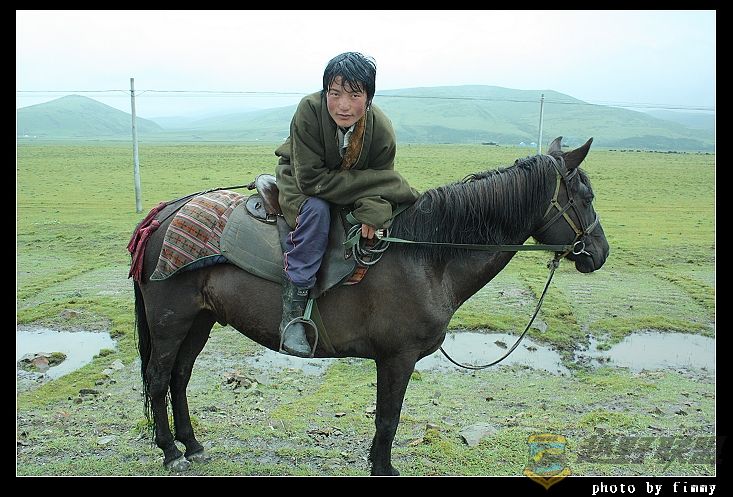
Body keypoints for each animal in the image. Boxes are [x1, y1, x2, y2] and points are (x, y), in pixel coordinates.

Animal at [130, 136, 609, 475]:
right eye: (585, 197)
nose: (599, 253)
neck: (426, 256)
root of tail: (164, 214)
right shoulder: (397, 358)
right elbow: (388, 419)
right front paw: (383, 468)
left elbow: (386, 418)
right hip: (171, 320)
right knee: (158, 378)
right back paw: (171, 451)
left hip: (200, 320)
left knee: (179, 377)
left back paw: (192, 445)